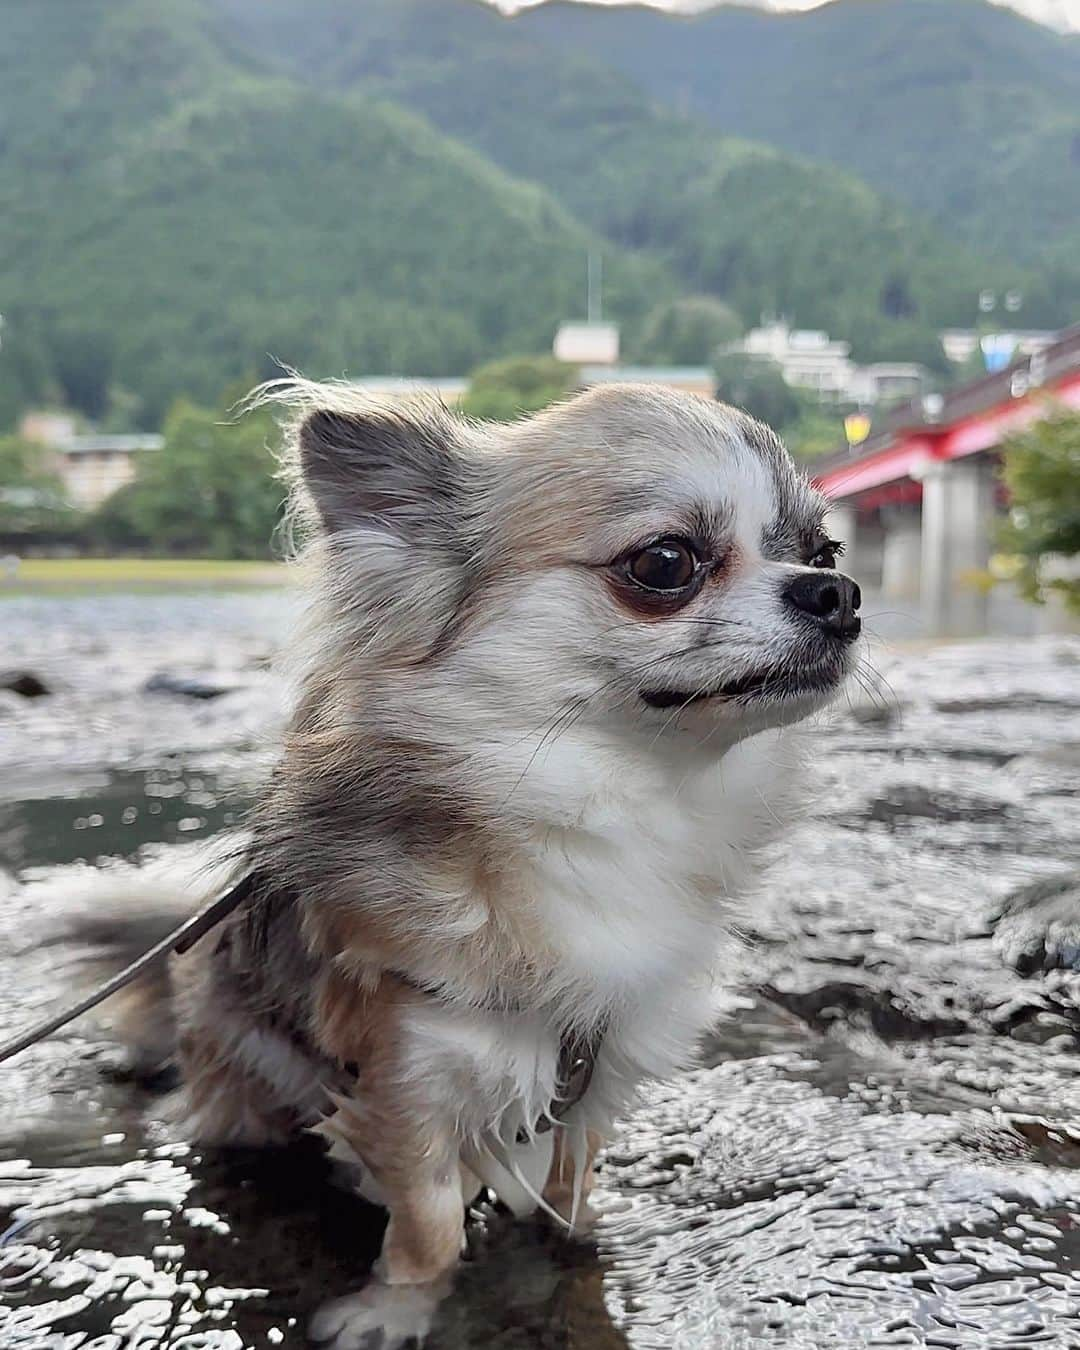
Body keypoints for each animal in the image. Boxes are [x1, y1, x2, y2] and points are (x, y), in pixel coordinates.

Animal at [67, 383, 858, 1350]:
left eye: (824, 551)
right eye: (666, 561)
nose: (838, 592)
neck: (614, 805)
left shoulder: (598, 1076)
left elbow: (569, 1187)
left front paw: (581, 1238)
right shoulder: (405, 1078)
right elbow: (432, 1224)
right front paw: (395, 1308)